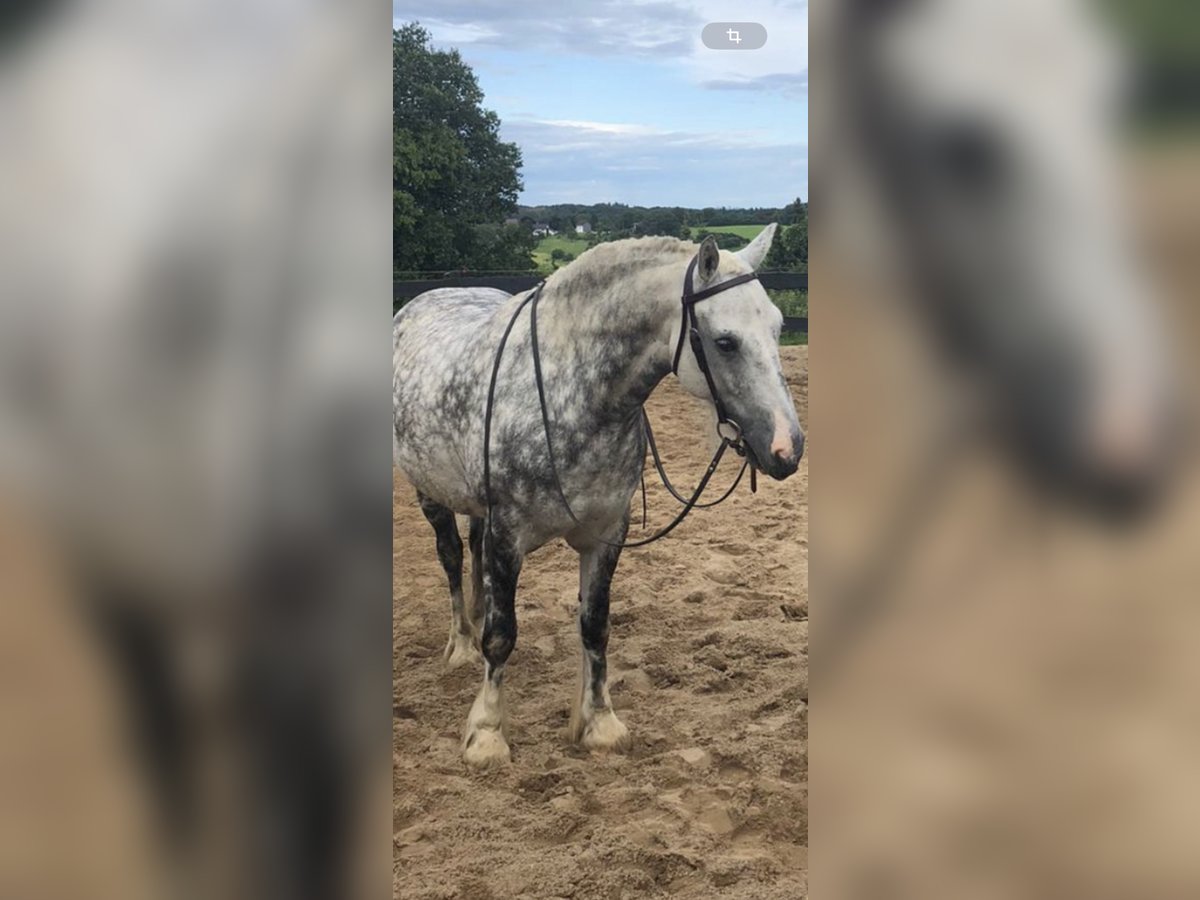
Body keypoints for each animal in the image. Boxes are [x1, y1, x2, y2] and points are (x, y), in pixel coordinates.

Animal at [396, 230, 806, 768]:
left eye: (778, 327)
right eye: (725, 342)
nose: (788, 447)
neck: (572, 395)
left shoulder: (608, 534)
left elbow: (595, 627)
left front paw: (600, 725)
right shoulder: (508, 537)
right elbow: (502, 637)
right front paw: (486, 733)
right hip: (431, 494)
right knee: (450, 558)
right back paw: (462, 643)